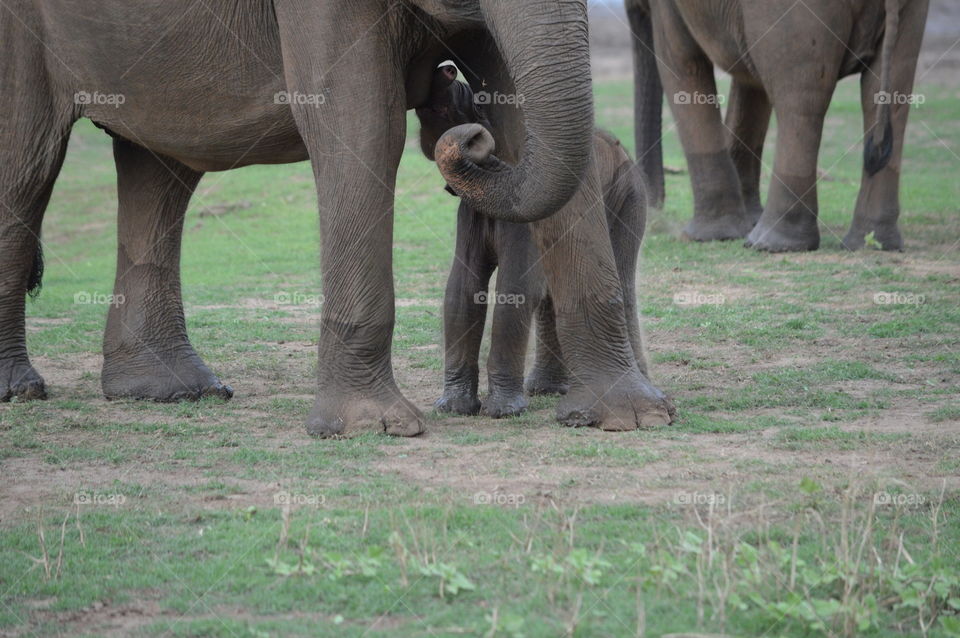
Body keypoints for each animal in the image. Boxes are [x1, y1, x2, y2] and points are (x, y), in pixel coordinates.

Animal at [416, 64, 663, 424]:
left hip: (628, 196)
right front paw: (453, 408)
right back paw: (547, 389)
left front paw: (502, 412)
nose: (446, 69)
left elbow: (516, 287)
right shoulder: (470, 215)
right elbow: (462, 288)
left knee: (620, 272)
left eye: (476, 106)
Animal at [627, 0, 929, 251]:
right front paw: (743, 225)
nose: (654, 210)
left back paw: (770, 244)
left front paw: (706, 236)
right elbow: (749, 81)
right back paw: (873, 244)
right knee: (888, 93)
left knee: (801, 99)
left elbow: (681, 62)